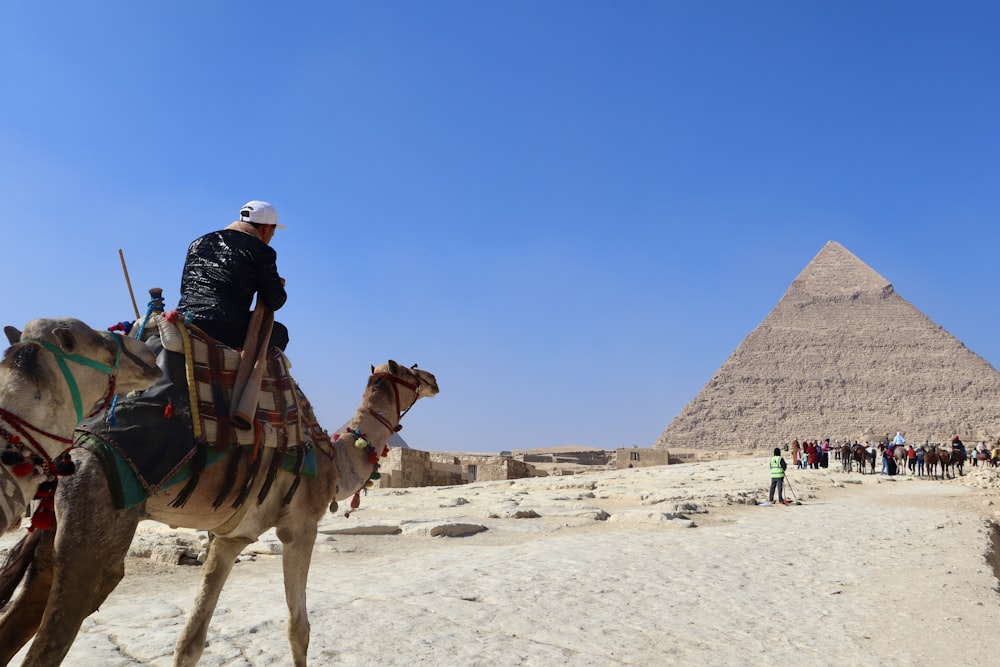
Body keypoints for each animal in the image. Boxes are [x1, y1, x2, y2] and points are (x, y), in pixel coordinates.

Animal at [0, 352, 438, 664]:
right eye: (412, 372)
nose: (434, 380)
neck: (335, 459)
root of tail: (67, 454)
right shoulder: (300, 526)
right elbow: (299, 629)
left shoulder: (230, 538)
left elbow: (190, 641)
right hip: (94, 524)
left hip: (53, 533)